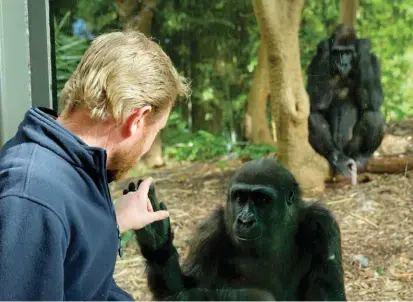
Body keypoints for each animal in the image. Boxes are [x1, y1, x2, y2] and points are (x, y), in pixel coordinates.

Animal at [124, 159, 346, 300]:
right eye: (240, 197)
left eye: (262, 200)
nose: (245, 220)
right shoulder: (209, 231)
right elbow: (180, 292)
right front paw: (158, 244)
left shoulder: (322, 223)